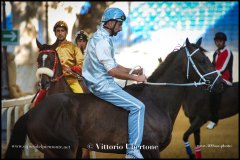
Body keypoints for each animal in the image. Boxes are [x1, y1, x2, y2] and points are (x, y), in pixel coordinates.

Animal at [4, 37, 224, 159]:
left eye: (207, 57)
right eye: (201, 59)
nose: (221, 83)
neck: (156, 101)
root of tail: (32, 113)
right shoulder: (150, 149)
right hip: (64, 151)